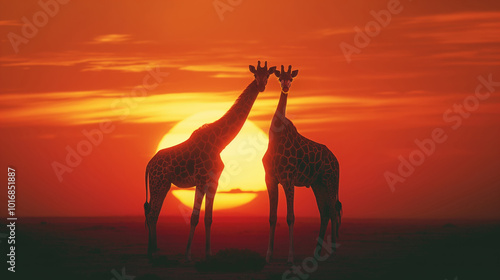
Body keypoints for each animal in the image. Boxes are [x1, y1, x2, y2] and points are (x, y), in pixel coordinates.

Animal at [145, 60, 278, 260]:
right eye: (255, 75)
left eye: (268, 75)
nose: (261, 86)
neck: (219, 142)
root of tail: (148, 165)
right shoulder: (201, 179)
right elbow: (194, 217)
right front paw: (187, 254)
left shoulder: (213, 181)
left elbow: (208, 218)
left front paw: (208, 254)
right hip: (158, 183)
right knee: (152, 214)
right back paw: (153, 253)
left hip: (163, 184)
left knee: (151, 212)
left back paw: (152, 251)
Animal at [262, 64, 344, 264]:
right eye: (280, 78)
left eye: (291, 78)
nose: (285, 86)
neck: (275, 137)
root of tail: (336, 161)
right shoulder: (271, 179)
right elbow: (272, 217)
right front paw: (268, 255)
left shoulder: (288, 179)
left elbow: (291, 217)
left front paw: (291, 257)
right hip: (318, 184)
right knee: (325, 213)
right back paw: (316, 252)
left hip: (331, 181)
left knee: (334, 211)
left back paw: (333, 253)